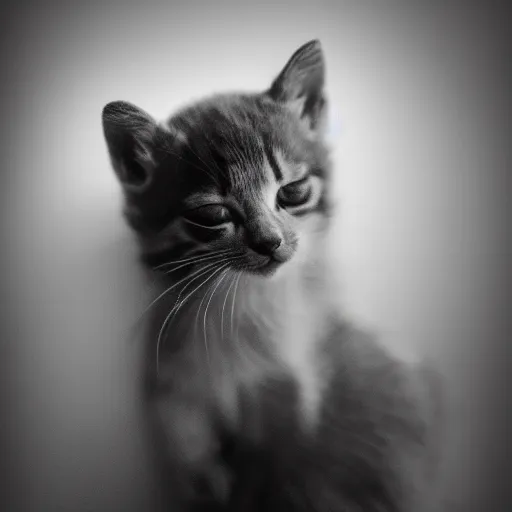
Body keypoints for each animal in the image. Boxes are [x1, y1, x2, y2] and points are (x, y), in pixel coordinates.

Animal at [103, 41, 440, 512]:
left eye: (293, 191)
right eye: (212, 214)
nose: (270, 242)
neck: (243, 304)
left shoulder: (299, 386)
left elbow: (286, 460)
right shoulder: (173, 385)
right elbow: (187, 445)